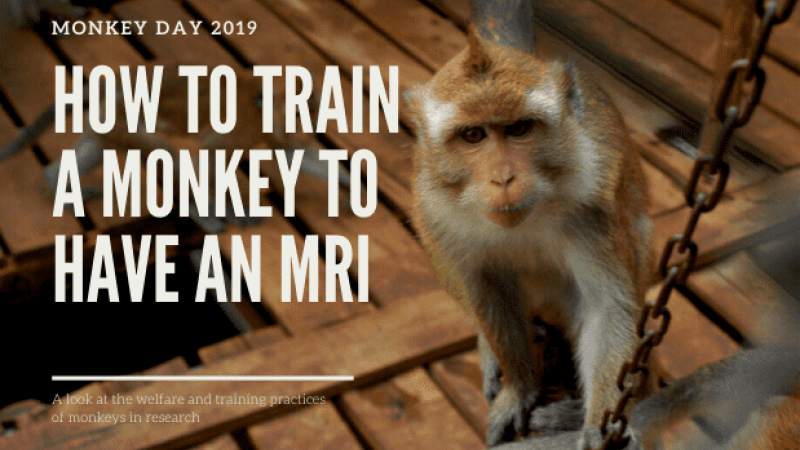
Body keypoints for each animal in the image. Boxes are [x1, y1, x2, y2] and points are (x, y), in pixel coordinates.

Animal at [404, 0, 652, 446]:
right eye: (473, 135)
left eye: (518, 128)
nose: (503, 178)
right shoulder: (437, 212)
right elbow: (485, 288)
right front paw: (519, 387)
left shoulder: (594, 208)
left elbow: (607, 306)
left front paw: (599, 425)